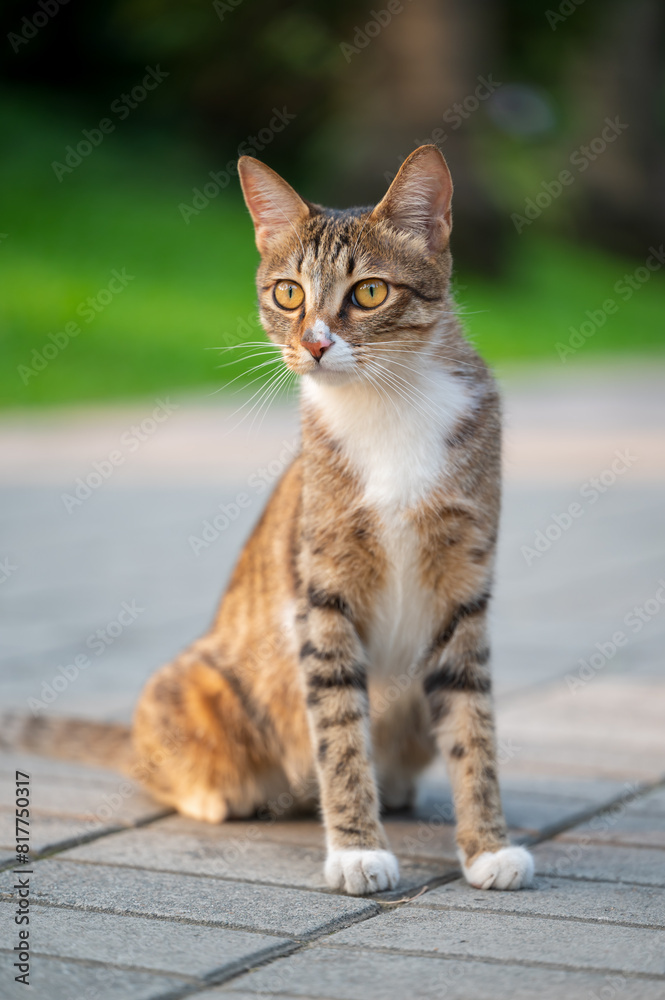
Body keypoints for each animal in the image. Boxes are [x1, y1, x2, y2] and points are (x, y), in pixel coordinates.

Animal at [3, 146, 536, 900]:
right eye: (288, 294)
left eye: (369, 293)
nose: (313, 345)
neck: (389, 409)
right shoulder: (322, 592)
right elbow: (339, 729)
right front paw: (357, 849)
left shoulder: (462, 587)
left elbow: (473, 725)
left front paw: (487, 846)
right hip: (195, 684)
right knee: (166, 766)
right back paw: (222, 792)